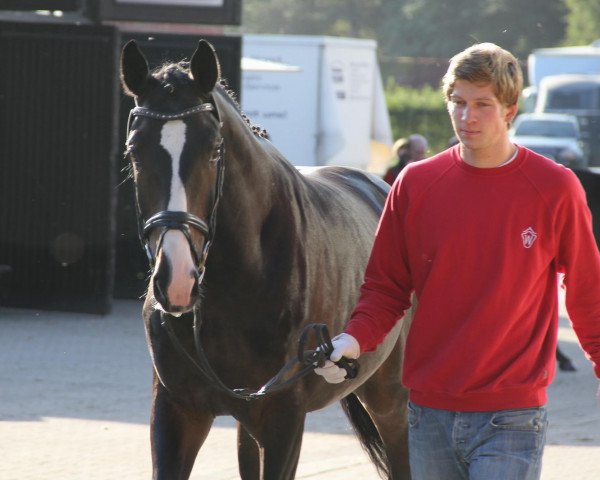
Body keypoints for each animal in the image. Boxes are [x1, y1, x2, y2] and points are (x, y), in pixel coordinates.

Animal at [120, 40, 412, 480]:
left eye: (214, 150)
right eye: (135, 151)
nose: (177, 279)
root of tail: (378, 185)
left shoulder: (283, 417)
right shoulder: (176, 410)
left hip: (388, 395)